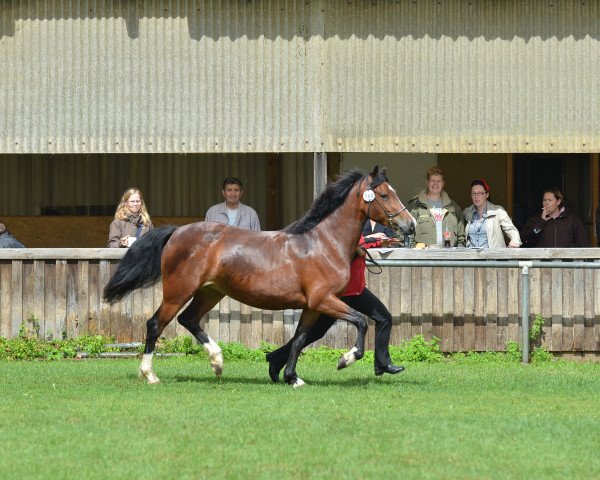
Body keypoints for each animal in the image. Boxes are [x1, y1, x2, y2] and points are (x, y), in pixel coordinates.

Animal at [103, 165, 414, 386]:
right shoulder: (324, 300)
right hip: (178, 291)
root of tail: (177, 232)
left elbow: (299, 338)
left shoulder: (313, 306)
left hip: (210, 292)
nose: (409, 225)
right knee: (156, 324)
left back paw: (217, 362)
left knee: (188, 320)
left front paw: (292, 377)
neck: (324, 242)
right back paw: (150, 375)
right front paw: (345, 360)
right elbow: (360, 321)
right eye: (384, 195)